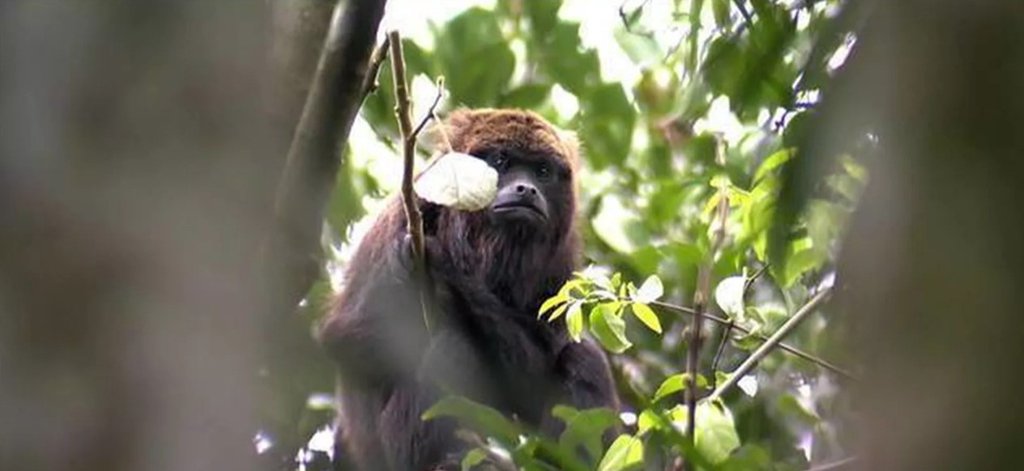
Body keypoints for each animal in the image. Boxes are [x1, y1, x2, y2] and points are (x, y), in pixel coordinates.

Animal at [319, 109, 619, 470]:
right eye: (501, 161)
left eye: (543, 171)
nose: (527, 189)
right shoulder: (407, 212)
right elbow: (346, 337)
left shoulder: (561, 259)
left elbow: (540, 363)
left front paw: (442, 270)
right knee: (454, 345)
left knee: (585, 356)